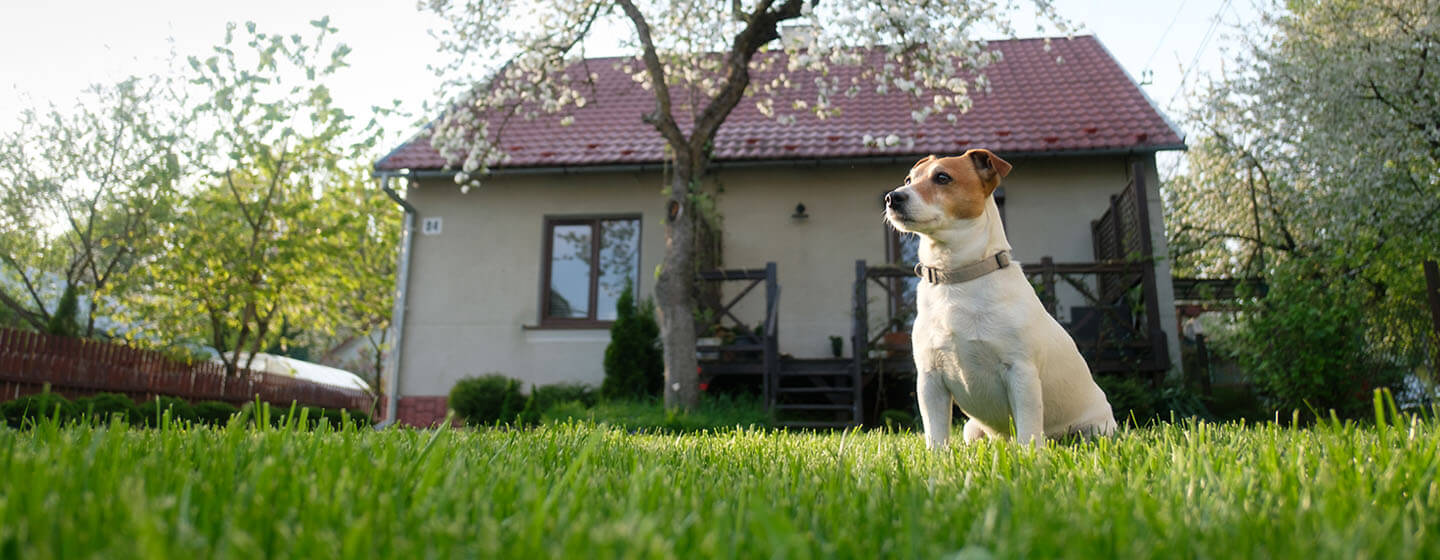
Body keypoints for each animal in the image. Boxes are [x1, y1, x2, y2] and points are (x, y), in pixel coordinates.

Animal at [881, 150, 1117, 446]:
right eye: (909, 180)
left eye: (942, 177)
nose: (892, 197)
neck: (958, 278)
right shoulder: (929, 379)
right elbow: (936, 435)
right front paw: (936, 455)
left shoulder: (1021, 372)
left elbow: (1028, 430)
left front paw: (1030, 455)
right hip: (972, 429)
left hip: (1096, 430)